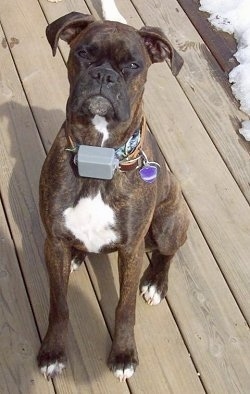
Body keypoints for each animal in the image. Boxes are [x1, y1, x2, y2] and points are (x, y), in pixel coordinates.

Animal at [38, 13, 188, 382]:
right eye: (83, 53)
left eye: (133, 65)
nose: (104, 75)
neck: (98, 152)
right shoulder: (54, 243)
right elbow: (59, 303)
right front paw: (53, 351)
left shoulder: (132, 251)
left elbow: (125, 307)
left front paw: (123, 354)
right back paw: (79, 255)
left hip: (168, 223)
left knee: (167, 253)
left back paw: (156, 283)